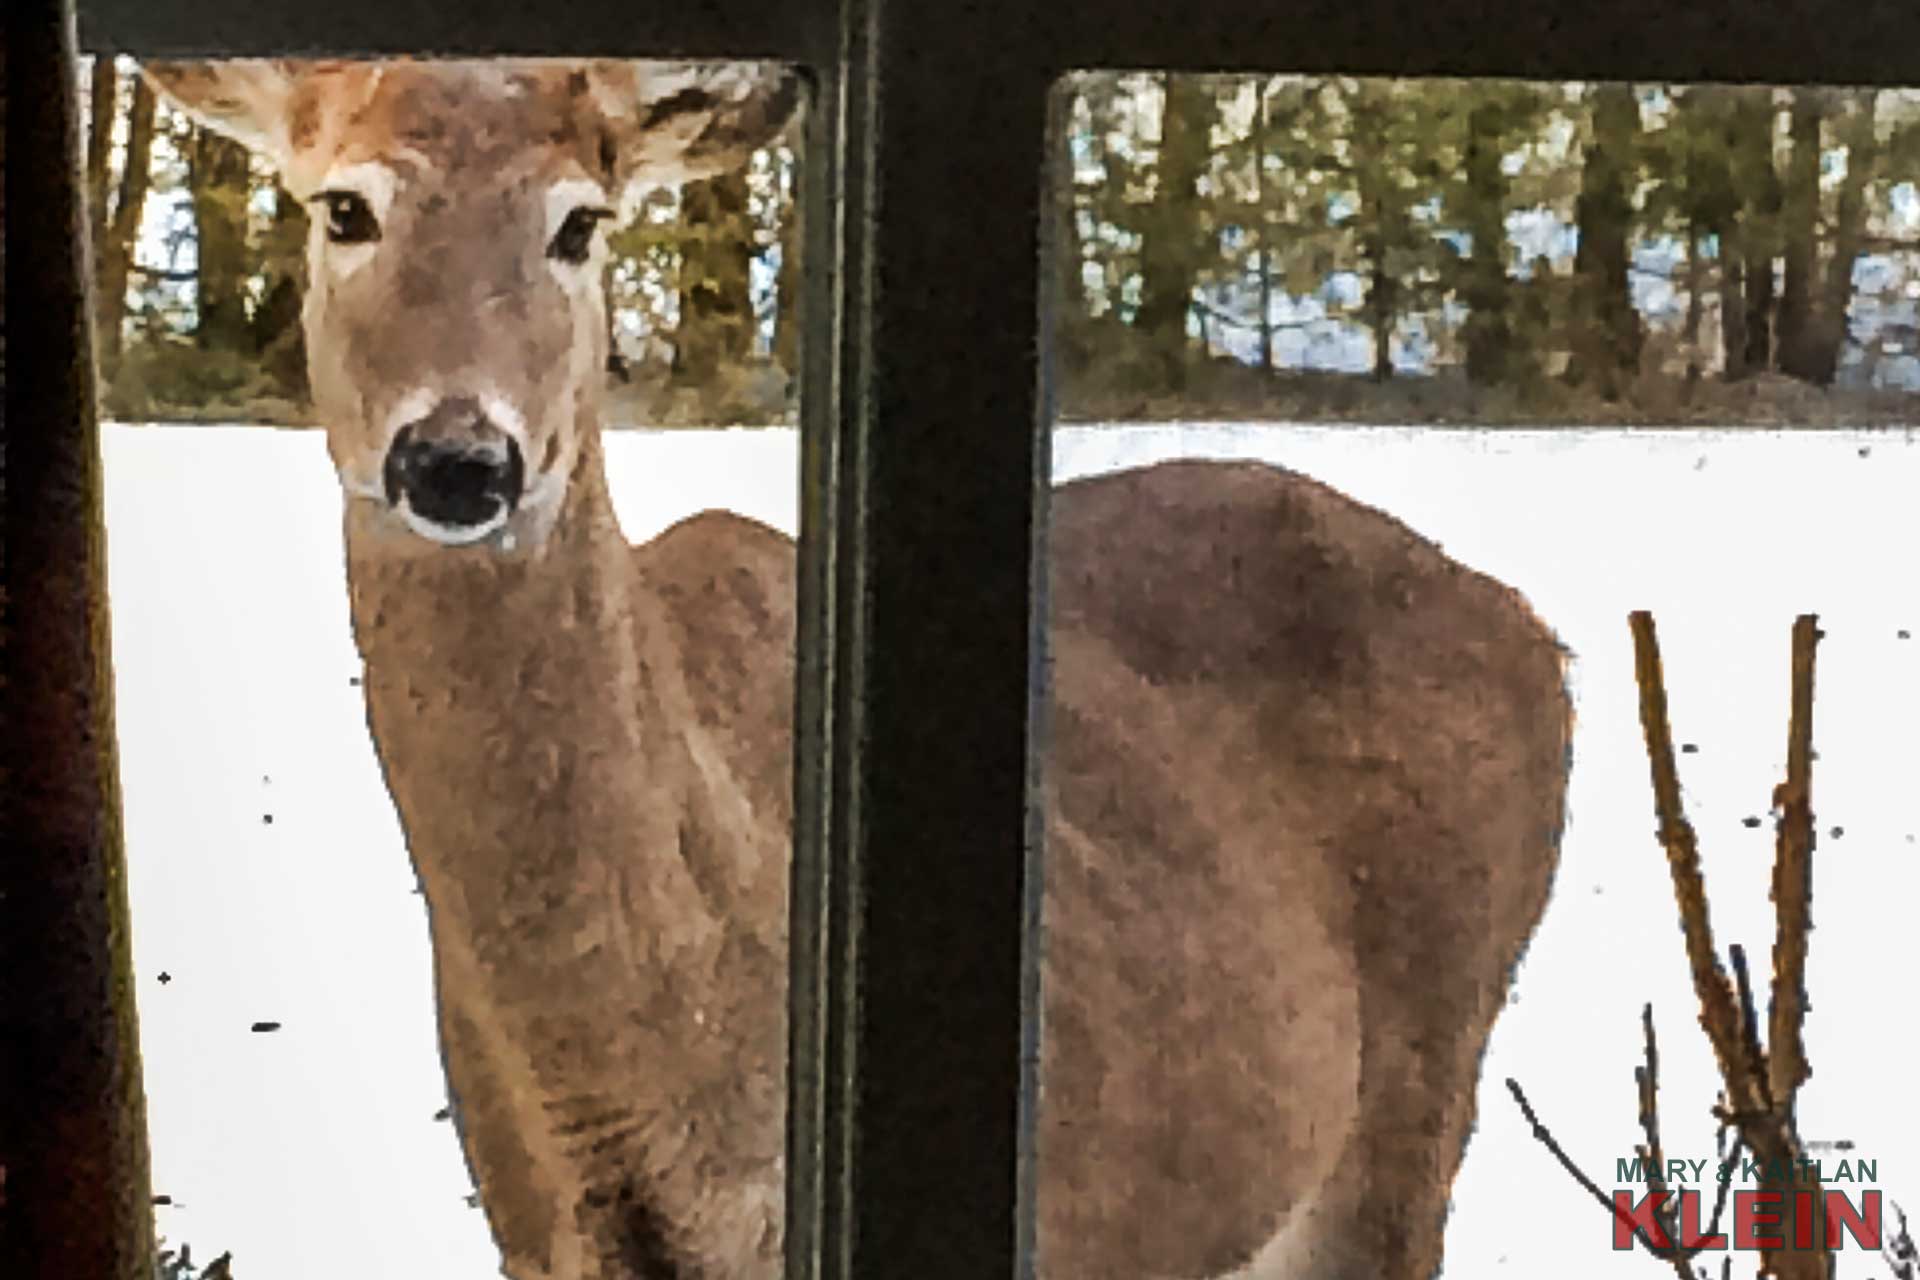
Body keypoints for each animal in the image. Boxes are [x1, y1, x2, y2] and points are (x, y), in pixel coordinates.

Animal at [145, 55, 1574, 1274]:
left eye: (579, 223)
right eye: (345, 207)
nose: (457, 457)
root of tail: (1537, 629)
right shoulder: (525, 1232)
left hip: (1426, 1072)